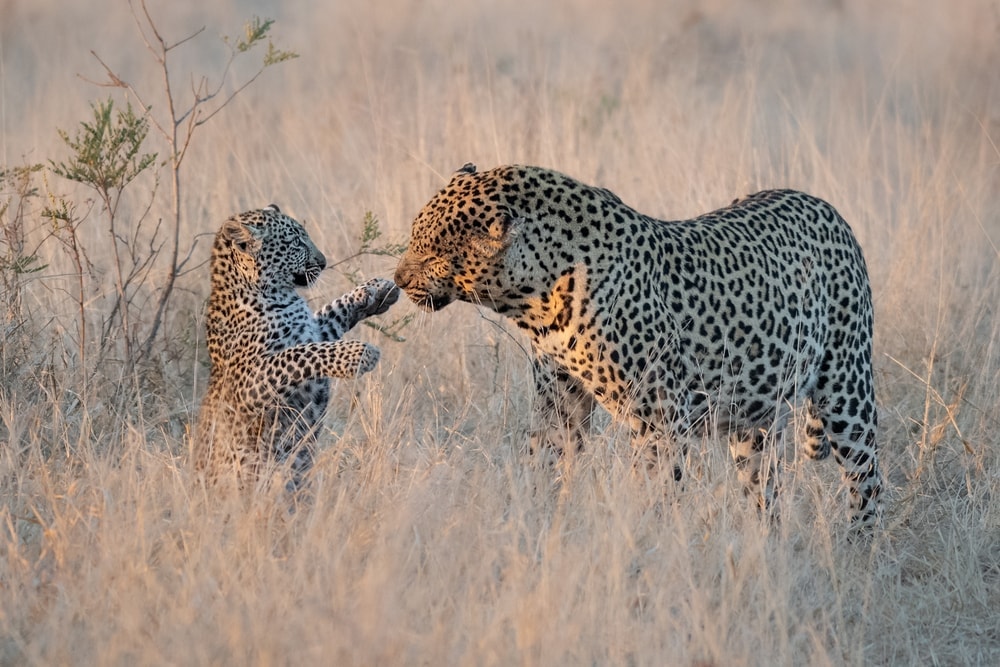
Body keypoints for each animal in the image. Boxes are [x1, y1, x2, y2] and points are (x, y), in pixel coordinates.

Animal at [194, 204, 399, 490]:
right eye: (295, 243)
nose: (323, 262)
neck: (276, 293)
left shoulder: (314, 330)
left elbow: (333, 311)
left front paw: (376, 290)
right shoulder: (248, 385)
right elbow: (298, 355)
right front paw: (359, 354)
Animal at [395, 163, 884, 528]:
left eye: (430, 253)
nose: (397, 279)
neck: (539, 300)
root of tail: (824, 205)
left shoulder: (660, 417)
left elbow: (654, 487)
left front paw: (644, 540)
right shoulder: (560, 400)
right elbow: (546, 458)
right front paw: (534, 516)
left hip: (846, 387)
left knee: (868, 478)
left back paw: (859, 551)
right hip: (755, 419)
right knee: (766, 489)